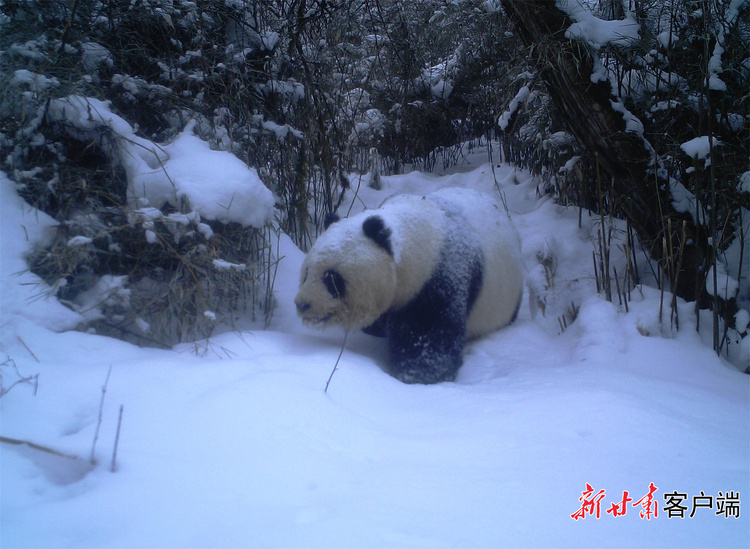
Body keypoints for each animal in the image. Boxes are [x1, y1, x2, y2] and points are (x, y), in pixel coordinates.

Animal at [294, 186, 524, 384]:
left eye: (332, 279)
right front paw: (375, 328)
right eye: (306, 274)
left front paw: (418, 374)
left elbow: (429, 333)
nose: (302, 304)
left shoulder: (442, 274)